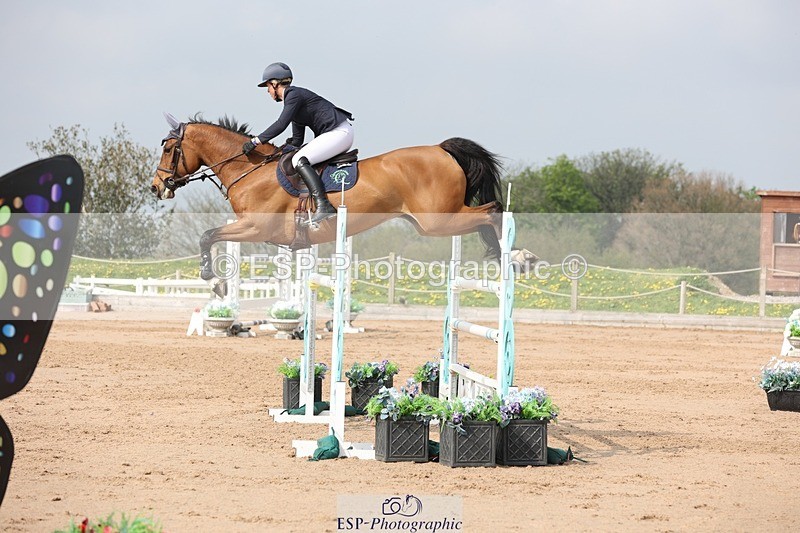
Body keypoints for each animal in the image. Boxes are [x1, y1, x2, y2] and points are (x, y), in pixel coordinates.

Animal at [151, 114, 534, 280]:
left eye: (169, 149)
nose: (157, 186)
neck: (251, 168)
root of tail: (441, 149)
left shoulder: (256, 228)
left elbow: (207, 235)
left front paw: (210, 279)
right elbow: (210, 235)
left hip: (438, 220)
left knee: (493, 210)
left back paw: (517, 256)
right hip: (434, 220)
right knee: (487, 214)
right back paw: (513, 257)